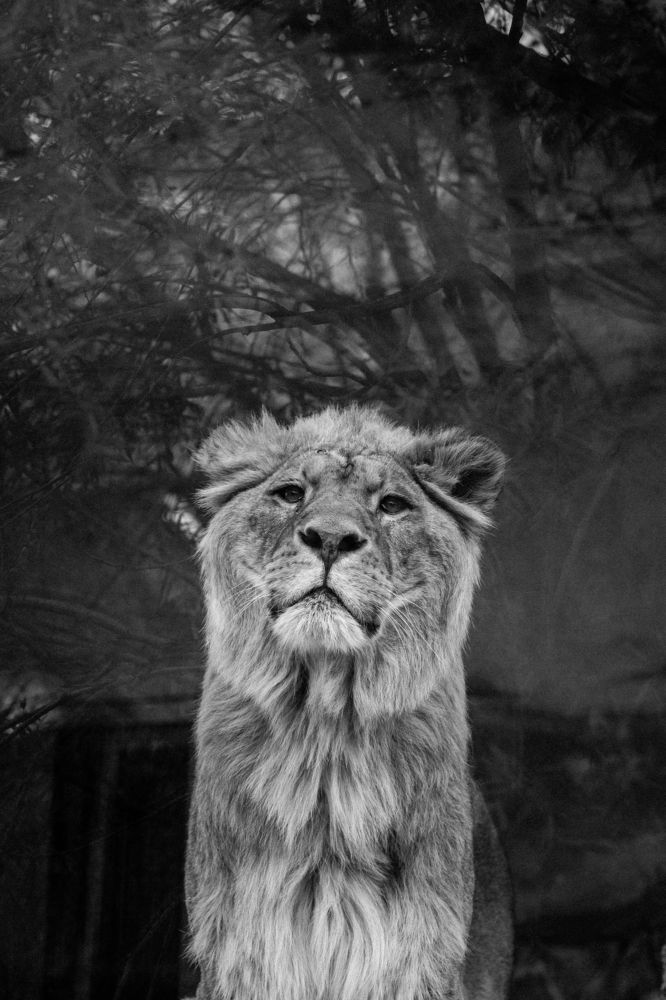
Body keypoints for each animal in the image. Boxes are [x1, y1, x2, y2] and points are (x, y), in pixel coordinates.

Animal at [186, 405, 513, 1000]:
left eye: (391, 505)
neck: (325, 720)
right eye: (291, 493)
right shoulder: (242, 951)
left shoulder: (418, 956)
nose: (331, 538)